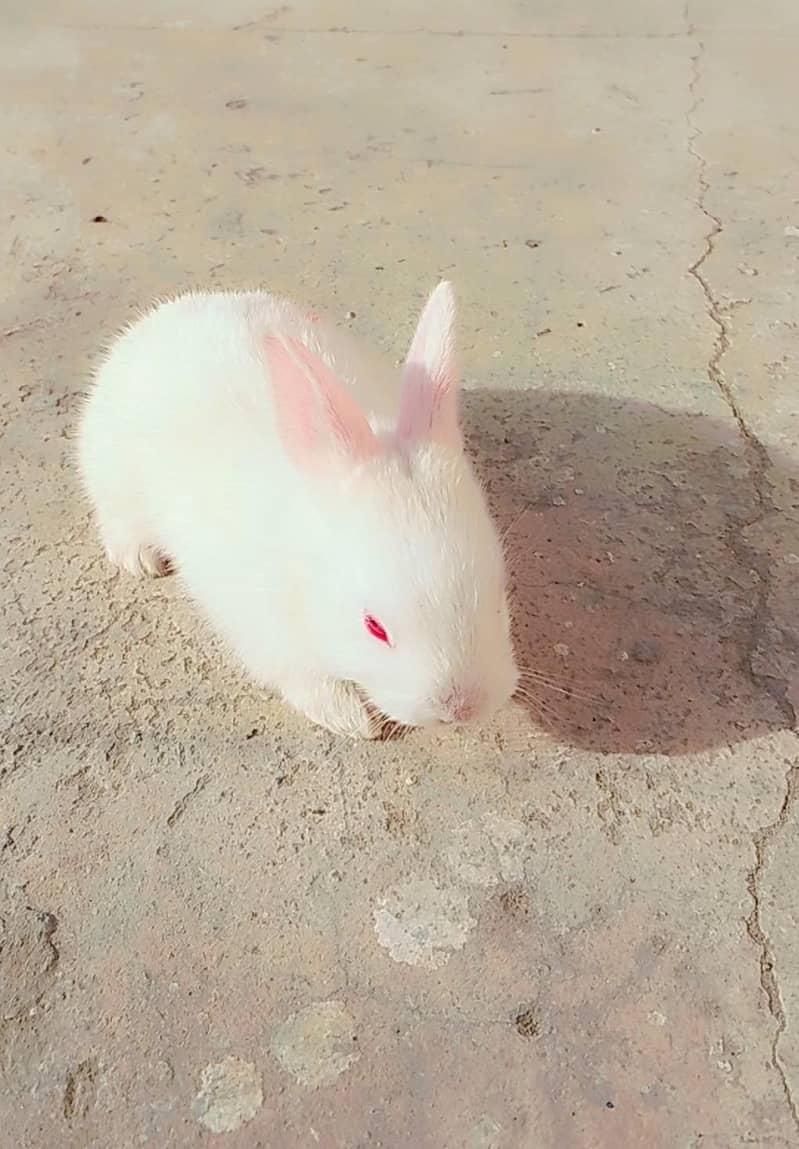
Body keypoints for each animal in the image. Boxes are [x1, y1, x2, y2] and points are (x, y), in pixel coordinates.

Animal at [76, 282, 519, 737]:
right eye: (374, 627)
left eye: (499, 595)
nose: (462, 707)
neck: (304, 573)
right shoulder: (269, 638)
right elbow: (308, 682)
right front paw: (352, 720)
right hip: (113, 476)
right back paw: (141, 559)